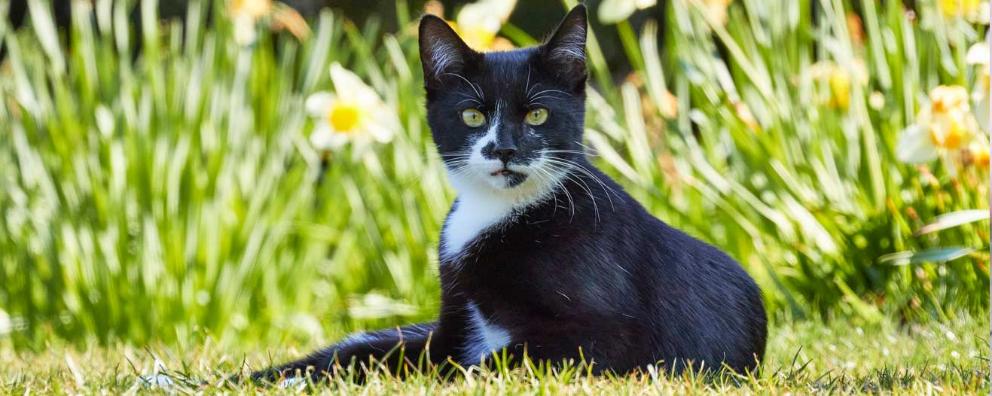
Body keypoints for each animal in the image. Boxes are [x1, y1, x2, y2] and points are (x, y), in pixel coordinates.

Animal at [248, 3, 768, 384]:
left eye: (537, 115)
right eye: (473, 115)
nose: (504, 148)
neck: (501, 212)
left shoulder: (610, 337)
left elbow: (483, 365)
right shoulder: (453, 327)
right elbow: (389, 353)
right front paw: (282, 376)